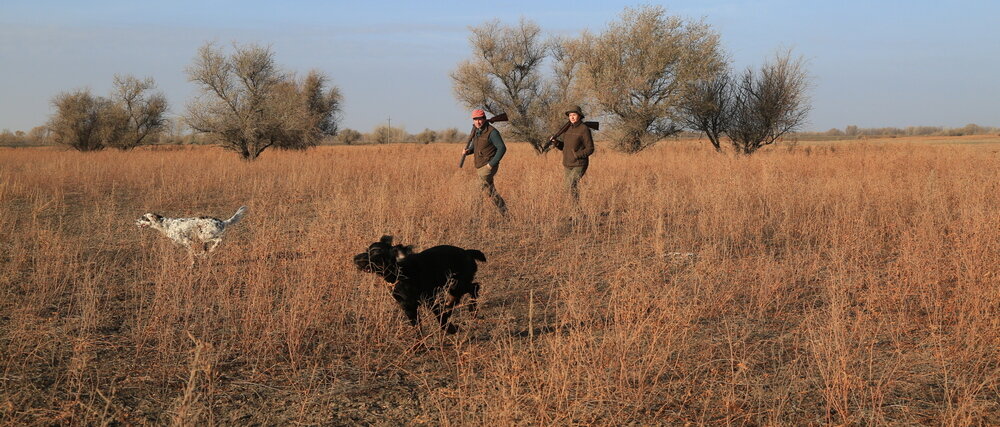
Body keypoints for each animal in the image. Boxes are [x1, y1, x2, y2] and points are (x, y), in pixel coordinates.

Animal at [354, 237, 486, 334]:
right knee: (459, 297)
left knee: (474, 287)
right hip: (453, 286)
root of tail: (467, 252)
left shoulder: (430, 300)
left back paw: (472, 310)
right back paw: (451, 308)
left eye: (376, 253)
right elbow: (417, 328)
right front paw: (418, 347)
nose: (355, 259)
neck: (401, 273)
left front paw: (451, 329)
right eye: (367, 250)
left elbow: (441, 319)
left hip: (456, 284)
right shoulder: (408, 307)